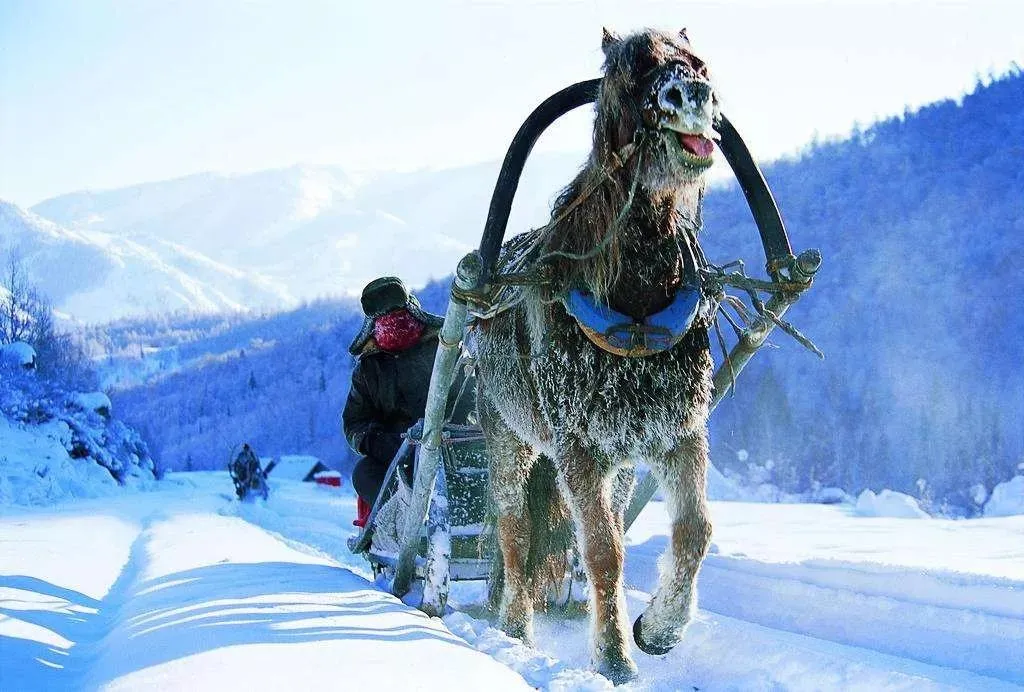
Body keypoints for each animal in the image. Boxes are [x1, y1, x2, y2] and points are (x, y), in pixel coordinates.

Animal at [475, 28, 716, 687]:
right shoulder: (578, 449)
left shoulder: (678, 434)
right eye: (636, 70)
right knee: (513, 533)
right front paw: (613, 656)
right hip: (509, 440)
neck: (633, 305)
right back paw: (514, 628)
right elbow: (603, 552)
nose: (696, 95)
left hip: (620, 464)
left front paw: (659, 629)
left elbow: (694, 531)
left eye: (700, 64)